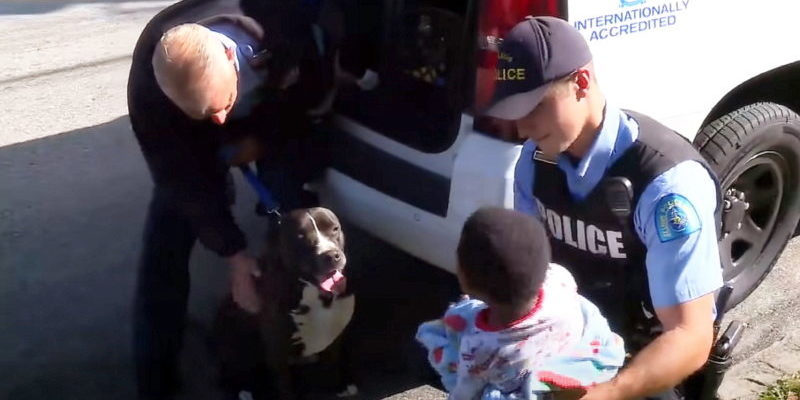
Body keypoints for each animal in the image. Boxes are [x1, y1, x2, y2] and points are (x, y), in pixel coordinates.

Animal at [216, 208, 360, 398]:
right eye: (300, 236)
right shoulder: (277, 348)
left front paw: (339, 385)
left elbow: (332, 362)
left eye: (335, 229)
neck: (314, 293)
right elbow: (284, 383)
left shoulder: (335, 333)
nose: (331, 255)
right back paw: (246, 389)